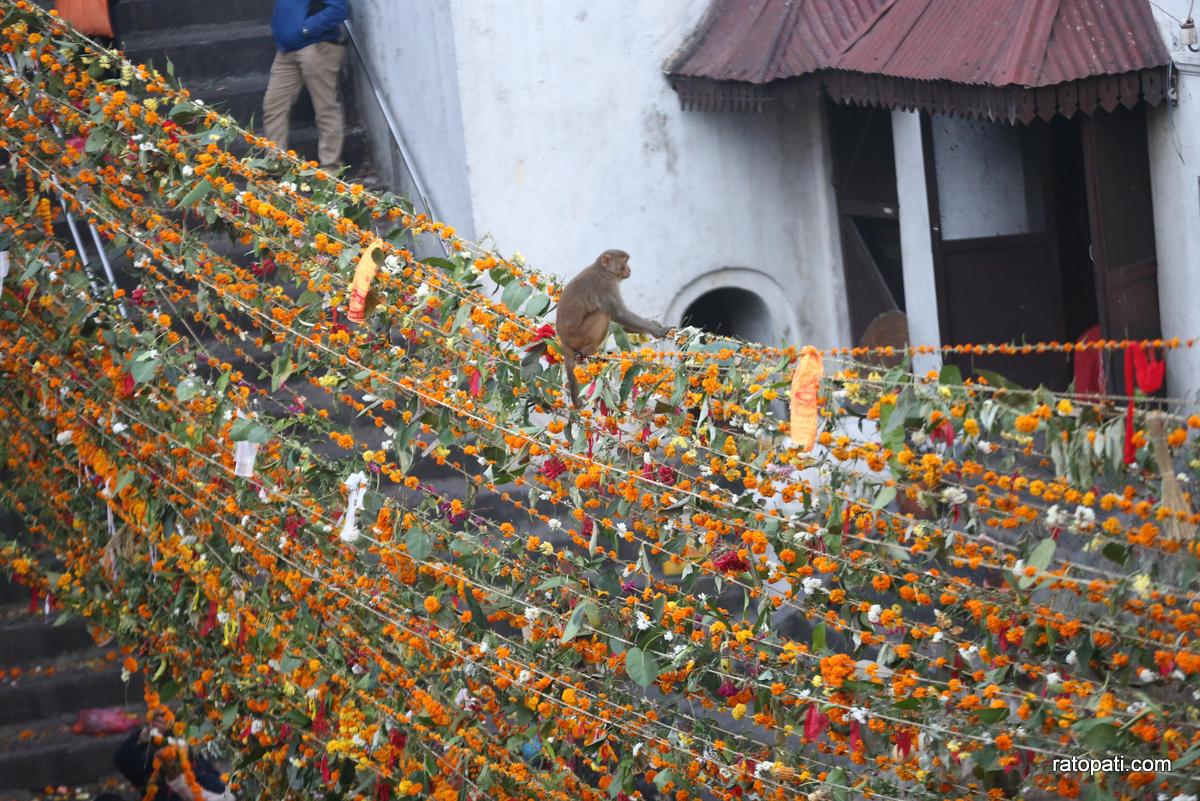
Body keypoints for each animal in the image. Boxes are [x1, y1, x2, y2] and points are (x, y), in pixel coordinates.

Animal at [525, 248, 676, 412]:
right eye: (625, 261)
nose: (629, 269)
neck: (603, 271)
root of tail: (564, 340)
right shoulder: (606, 286)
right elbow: (619, 314)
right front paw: (657, 331)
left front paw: (655, 325)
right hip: (580, 335)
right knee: (603, 314)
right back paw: (587, 351)